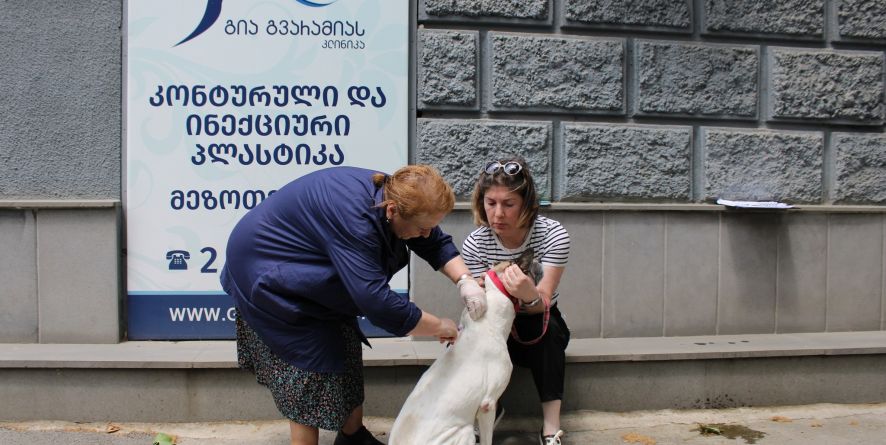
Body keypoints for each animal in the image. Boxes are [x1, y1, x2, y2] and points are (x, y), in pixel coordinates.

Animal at [390, 250, 540, 444]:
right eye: (523, 267)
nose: (535, 256)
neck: (488, 320)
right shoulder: (487, 404)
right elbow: (487, 439)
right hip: (465, 431)